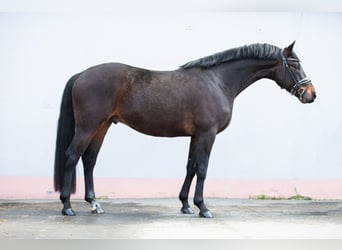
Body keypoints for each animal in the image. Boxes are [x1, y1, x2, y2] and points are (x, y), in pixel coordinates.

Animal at [54, 41, 316, 217]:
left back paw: (94, 203)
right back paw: (67, 206)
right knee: (72, 156)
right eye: (294, 64)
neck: (218, 82)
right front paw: (203, 207)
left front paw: (186, 205)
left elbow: (190, 167)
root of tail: (82, 74)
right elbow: (202, 169)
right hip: (88, 126)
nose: (311, 94)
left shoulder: (196, 136)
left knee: (89, 160)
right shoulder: (207, 134)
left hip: (102, 126)